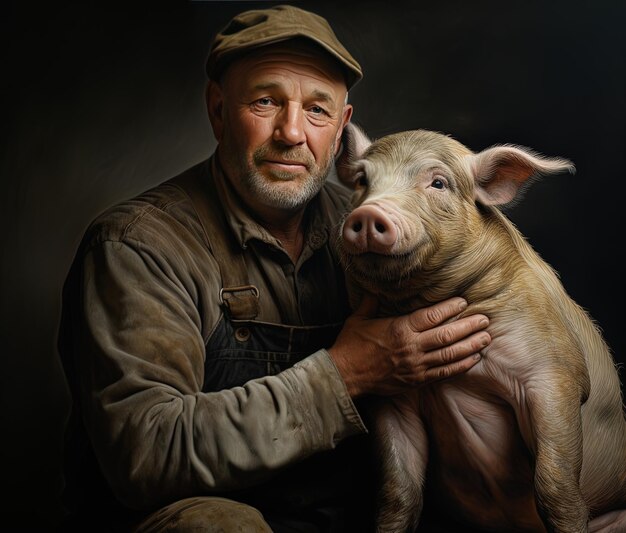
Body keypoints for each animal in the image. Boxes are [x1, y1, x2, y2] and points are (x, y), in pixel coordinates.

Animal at [334, 123, 624, 532]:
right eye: (362, 180)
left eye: (438, 182)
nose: (368, 214)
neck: (422, 299)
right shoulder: (393, 397)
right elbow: (398, 491)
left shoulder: (558, 372)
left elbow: (555, 485)